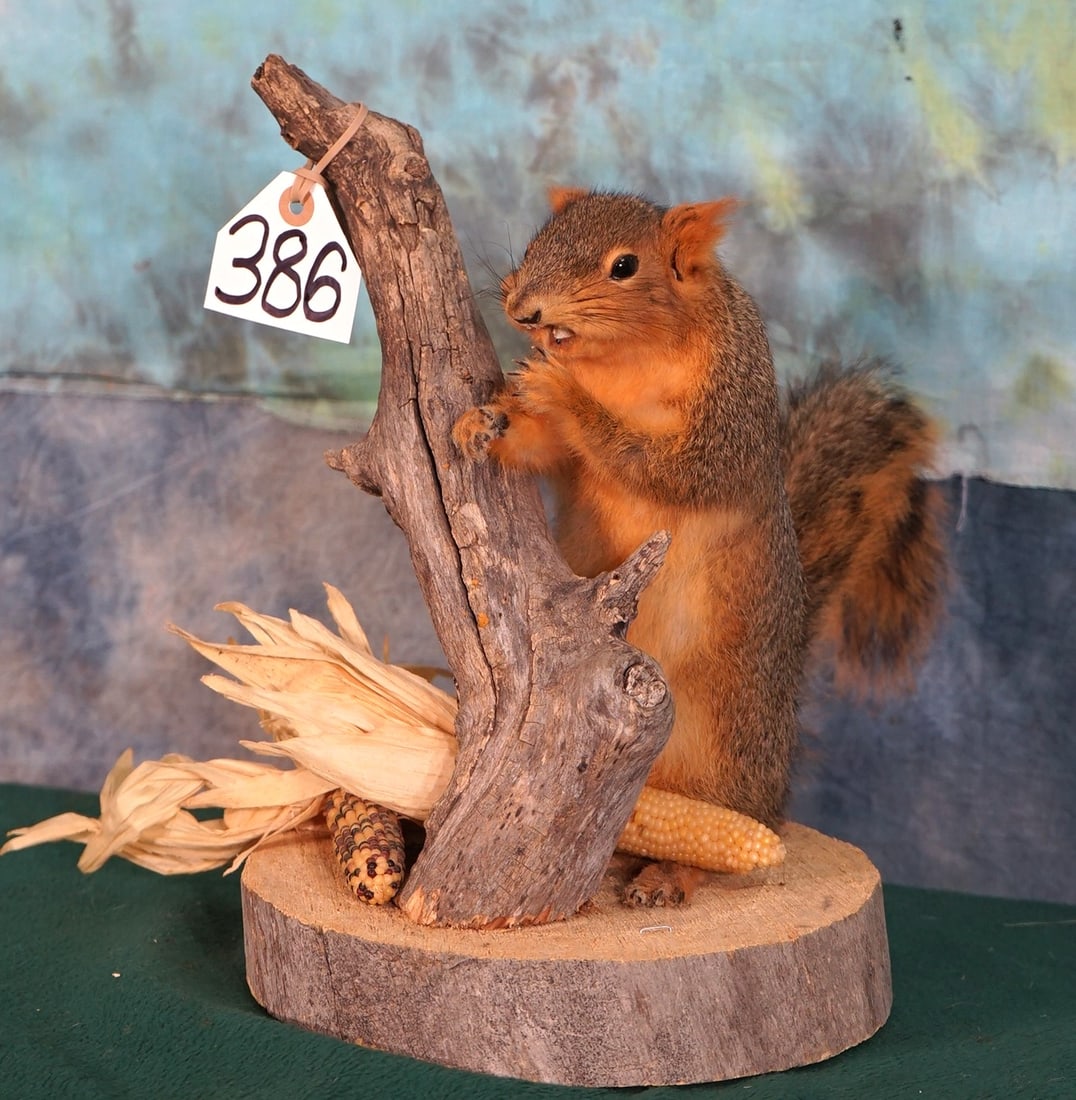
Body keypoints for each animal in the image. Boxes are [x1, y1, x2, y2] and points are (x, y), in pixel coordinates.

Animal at [453, 188, 946, 906]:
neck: (623, 361)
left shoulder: (724, 424)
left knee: (728, 831)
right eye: (539, 239)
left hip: (725, 747)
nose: (524, 310)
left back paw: (668, 874)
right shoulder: (569, 457)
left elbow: (658, 463)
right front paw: (481, 420)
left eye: (624, 266)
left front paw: (560, 391)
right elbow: (544, 450)